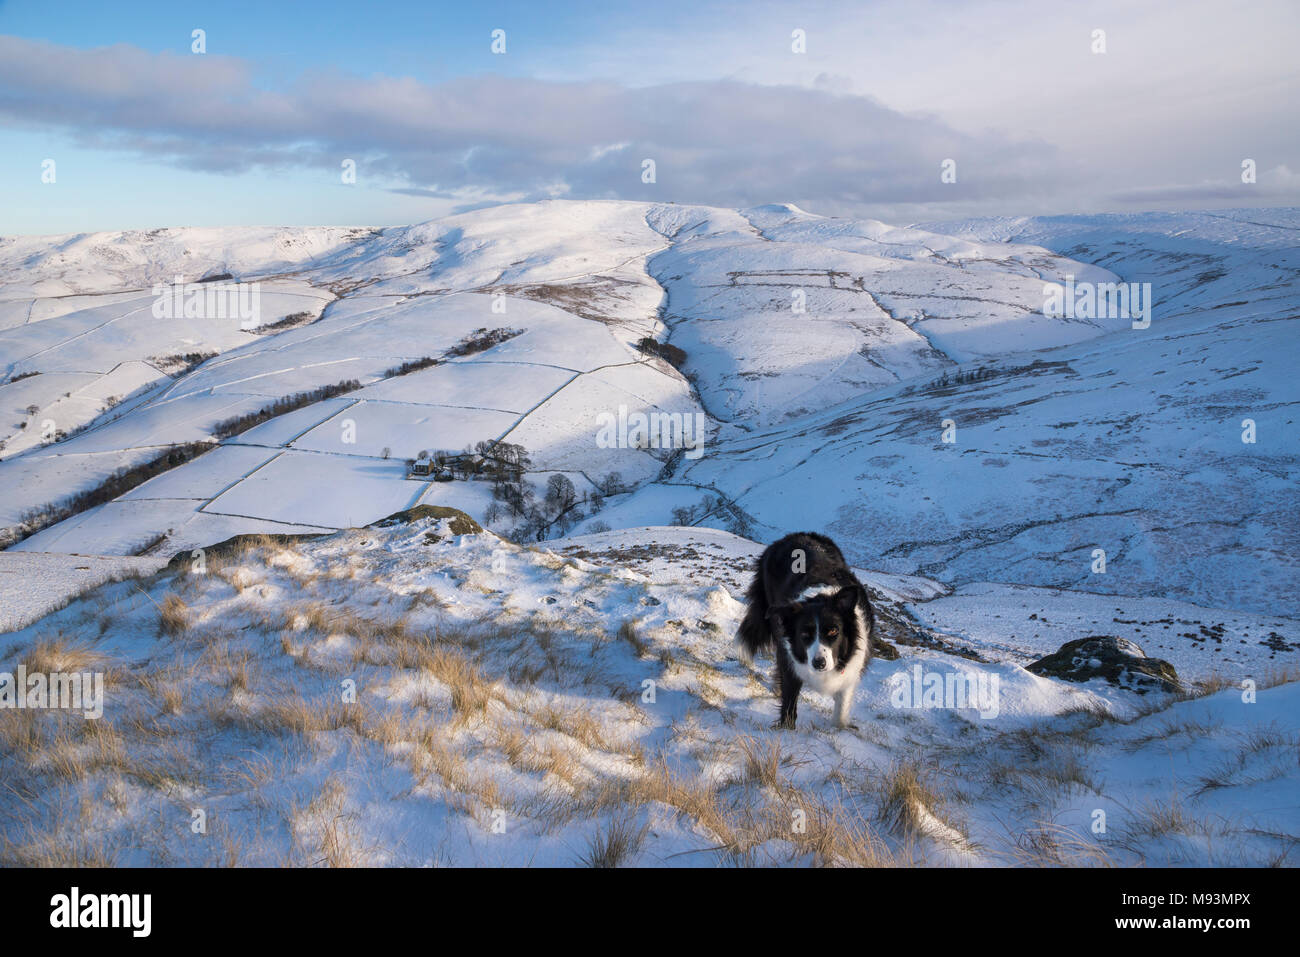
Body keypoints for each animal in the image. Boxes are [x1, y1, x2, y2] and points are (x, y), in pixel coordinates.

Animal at [743, 535, 873, 728]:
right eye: (804, 634)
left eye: (833, 631)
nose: (819, 663)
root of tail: (791, 535)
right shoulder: (789, 658)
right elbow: (789, 698)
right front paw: (787, 728)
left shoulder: (851, 669)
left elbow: (841, 709)